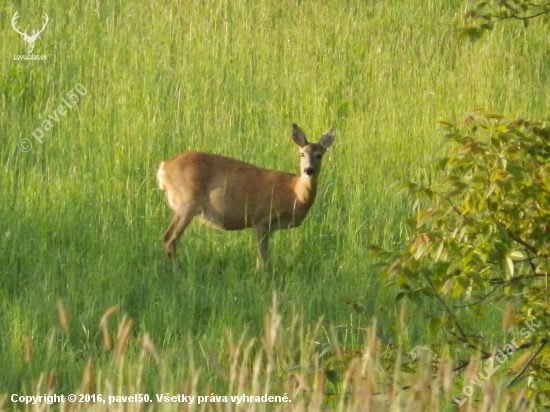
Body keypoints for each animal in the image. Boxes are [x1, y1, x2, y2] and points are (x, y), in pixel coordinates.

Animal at [157, 124, 334, 268]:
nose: (308, 170)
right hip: (187, 202)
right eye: (302, 154)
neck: (295, 193)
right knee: (169, 239)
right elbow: (263, 258)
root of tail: (163, 167)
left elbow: (261, 257)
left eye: (320, 155)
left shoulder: (268, 227)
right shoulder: (261, 219)